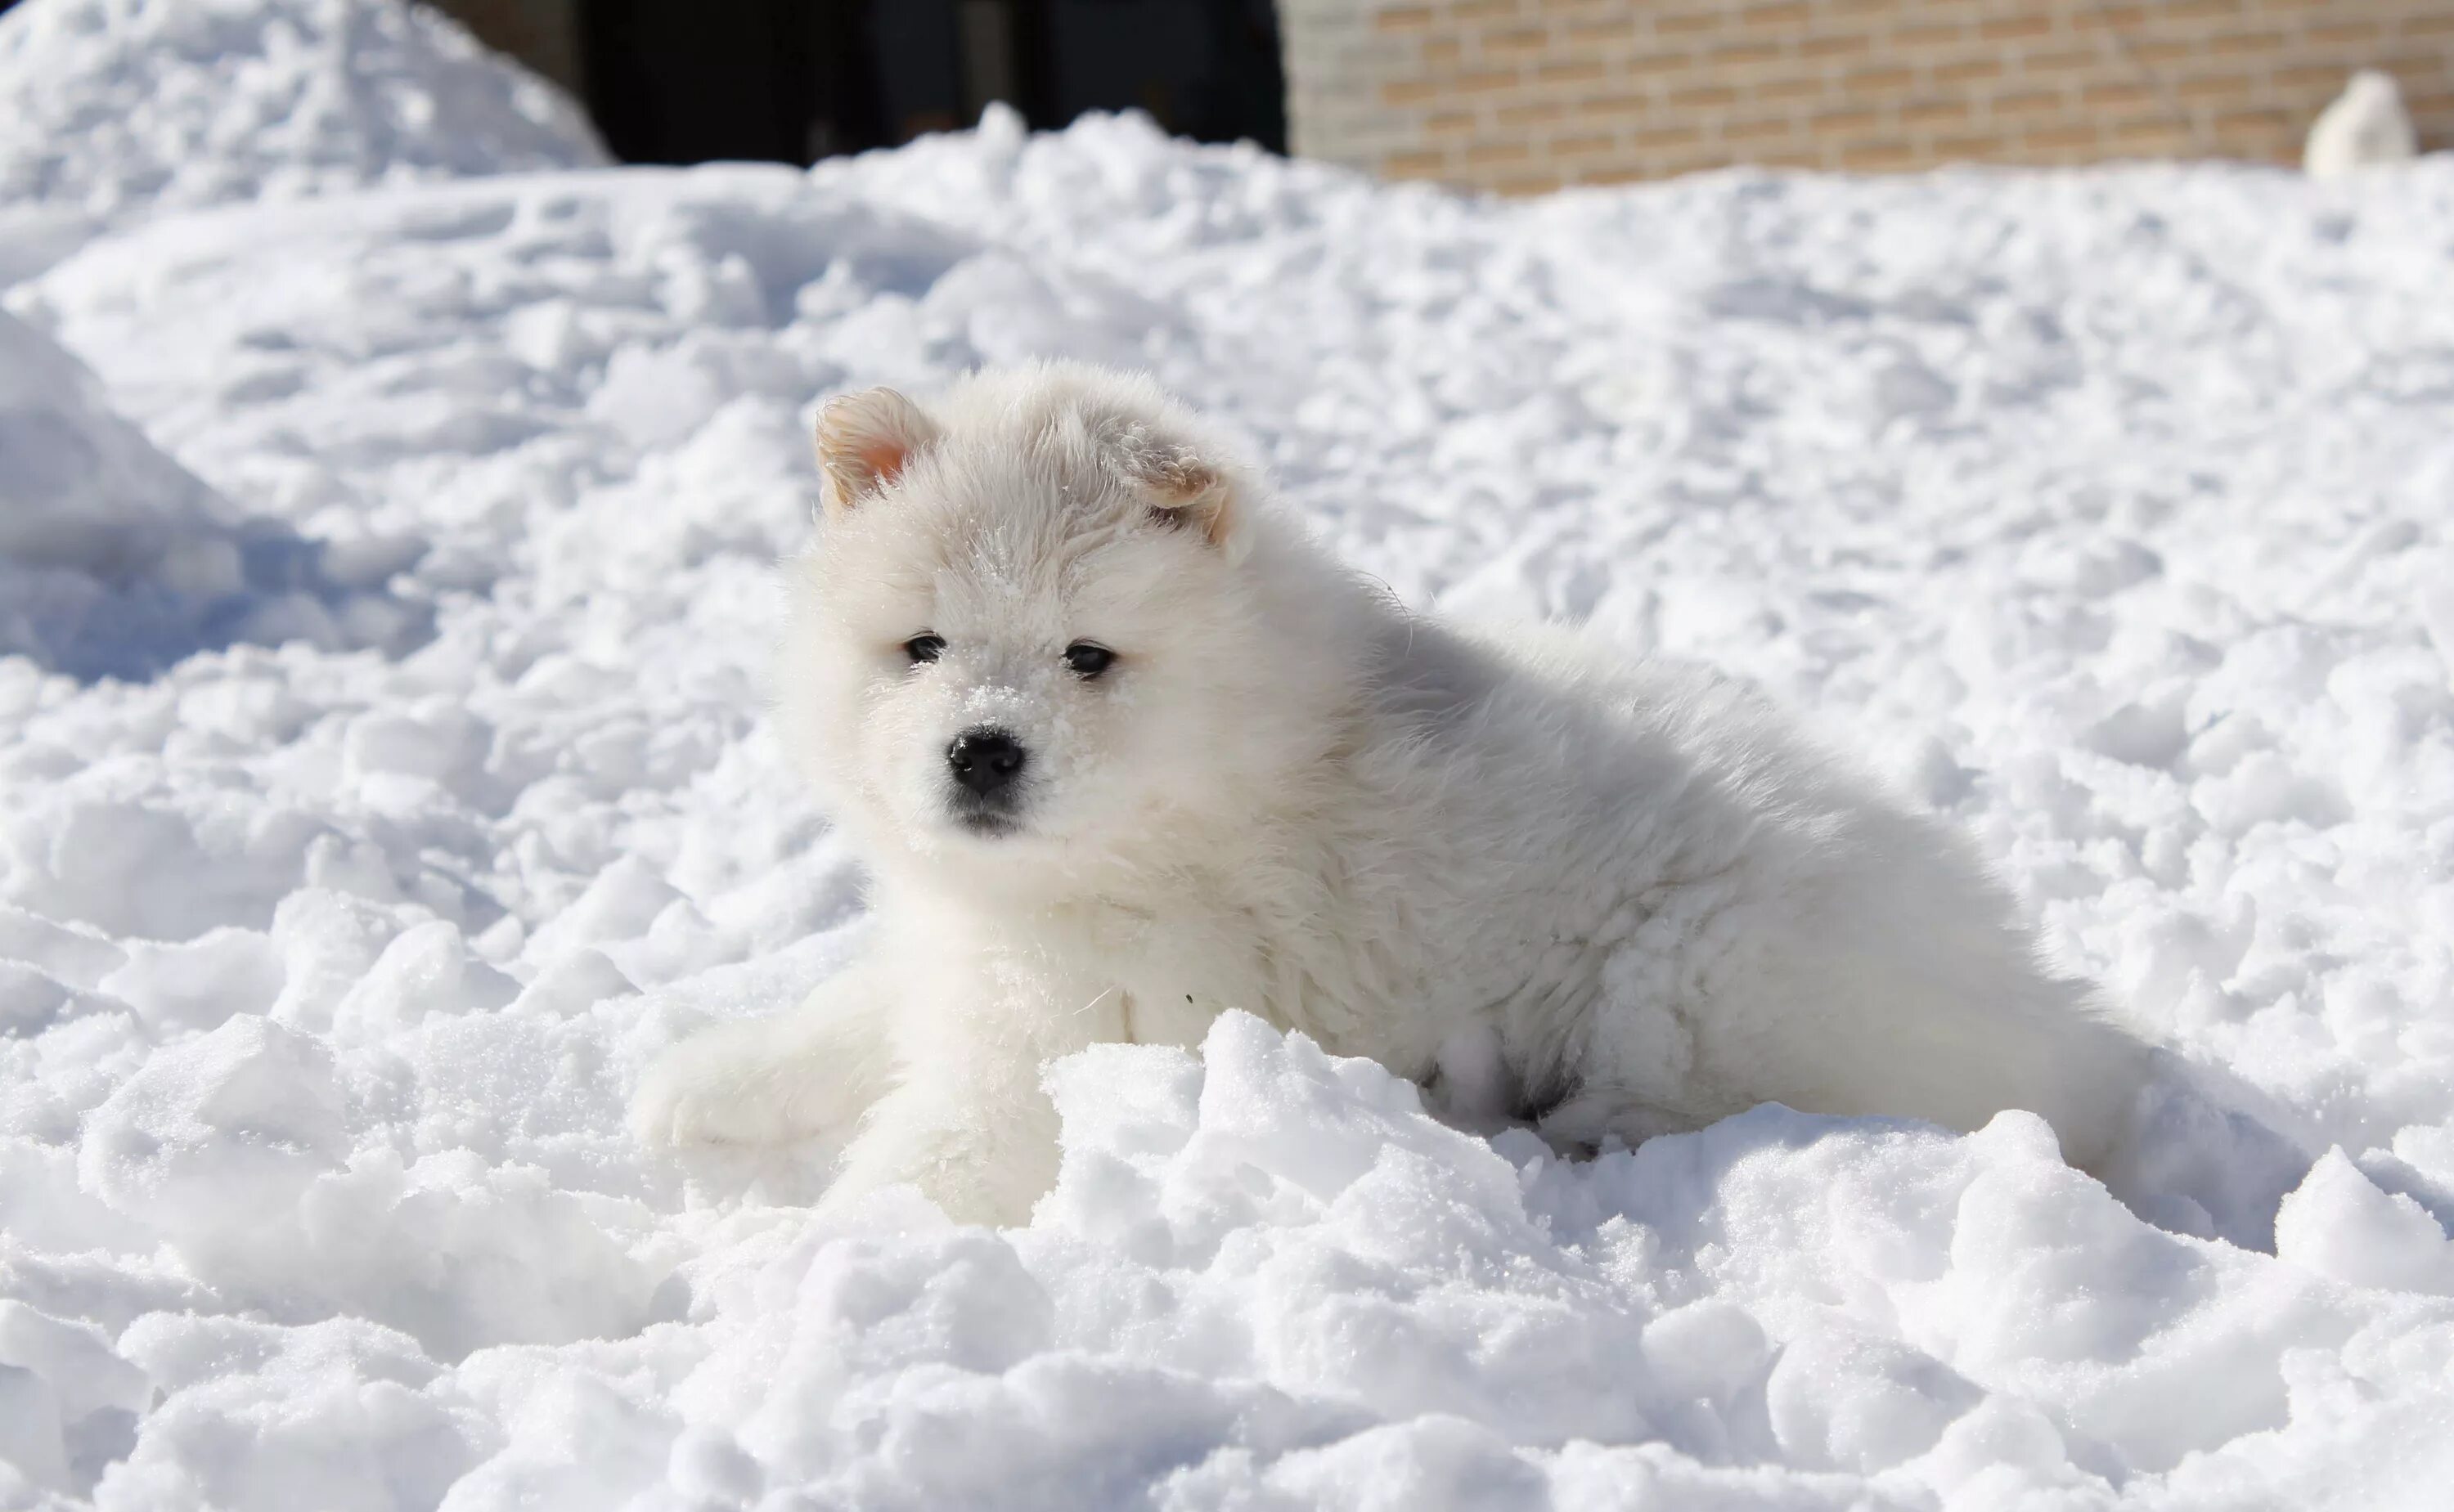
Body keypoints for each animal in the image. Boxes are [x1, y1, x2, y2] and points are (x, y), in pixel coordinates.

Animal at [633, 366, 2150, 1227]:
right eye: (923, 647)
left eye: (1088, 656)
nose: (984, 750)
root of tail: (2059, 1018)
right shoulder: (967, 953)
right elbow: (845, 1015)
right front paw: (698, 1087)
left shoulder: (1070, 1035)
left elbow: (923, 1165)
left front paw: (796, 1293)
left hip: (1709, 980)